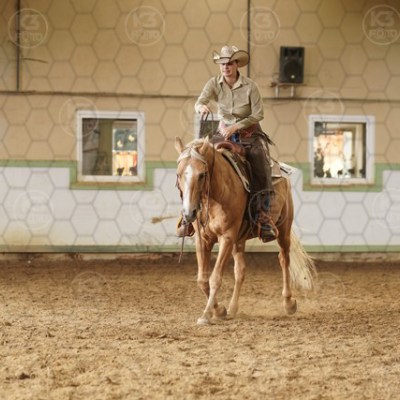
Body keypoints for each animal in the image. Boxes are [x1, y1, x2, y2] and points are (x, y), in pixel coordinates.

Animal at [175, 136, 315, 325]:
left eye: (202, 174)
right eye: (179, 174)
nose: (189, 213)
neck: (218, 194)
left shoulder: (227, 237)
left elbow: (215, 278)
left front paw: (207, 314)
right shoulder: (203, 239)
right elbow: (202, 279)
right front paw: (220, 310)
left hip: (283, 228)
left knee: (284, 259)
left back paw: (288, 303)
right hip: (239, 240)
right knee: (240, 270)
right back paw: (233, 308)